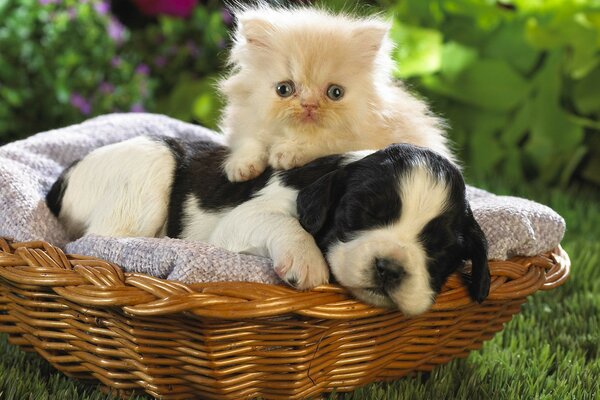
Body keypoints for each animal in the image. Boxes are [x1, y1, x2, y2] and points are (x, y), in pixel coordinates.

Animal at [47, 138, 488, 316]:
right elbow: (283, 222)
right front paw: (307, 261)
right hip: (147, 168)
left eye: (438, 249)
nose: (389, 268)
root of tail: (63, 176)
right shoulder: (244, 219)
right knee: (99, 239)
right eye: (360, 215)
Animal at [218, 3, 452, 182]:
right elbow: (250, 139)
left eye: (335, 93)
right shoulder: (245, 122)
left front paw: (287, 152)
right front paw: (241, 166)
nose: (309, 105)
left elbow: (325, 141)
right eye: (284, 89)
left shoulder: (360, 142)